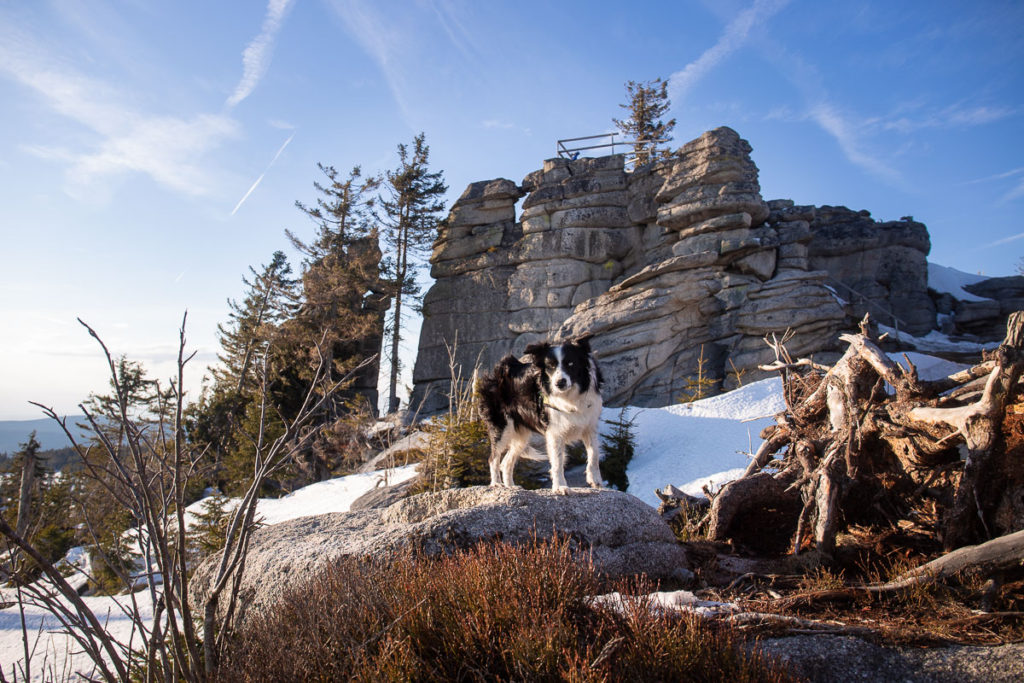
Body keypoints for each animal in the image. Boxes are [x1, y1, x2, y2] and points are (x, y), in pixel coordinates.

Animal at [477, 335, 602, 491]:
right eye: (550, 366)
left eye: (570, 363)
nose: (559, 383)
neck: (571, 396)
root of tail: (497, 371)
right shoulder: (555, 432)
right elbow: (558, 461)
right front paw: (560, 487)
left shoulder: (589, 425)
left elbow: (594, 454)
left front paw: (595, 480)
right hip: (503, 427)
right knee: (493, 457)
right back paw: (497, 484)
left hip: (521, 435)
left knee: (506, 462)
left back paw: (511, 487)